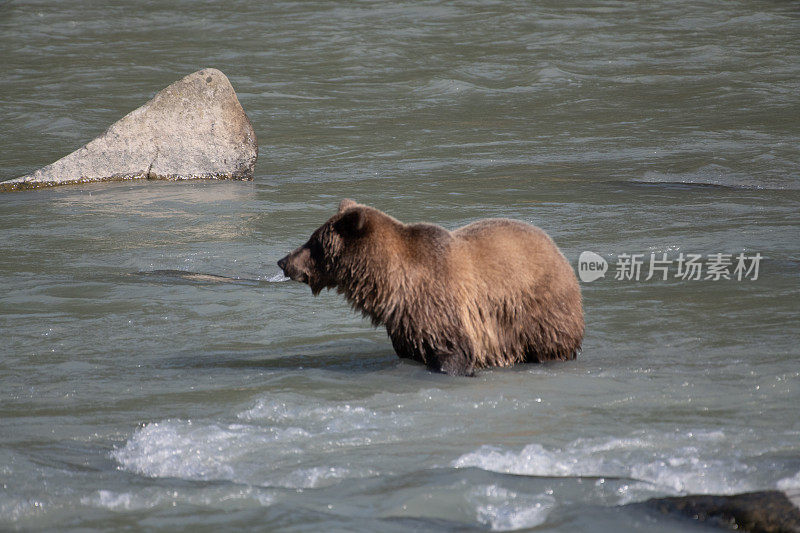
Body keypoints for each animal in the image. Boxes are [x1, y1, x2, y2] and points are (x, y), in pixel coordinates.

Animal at [278, 197, 584, 376]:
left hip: (538, 310)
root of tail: (554, 247)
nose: (284, 261)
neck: (390, 284)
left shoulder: (439, 306)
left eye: (314, 241)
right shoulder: (406, 323)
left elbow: (454, 352)